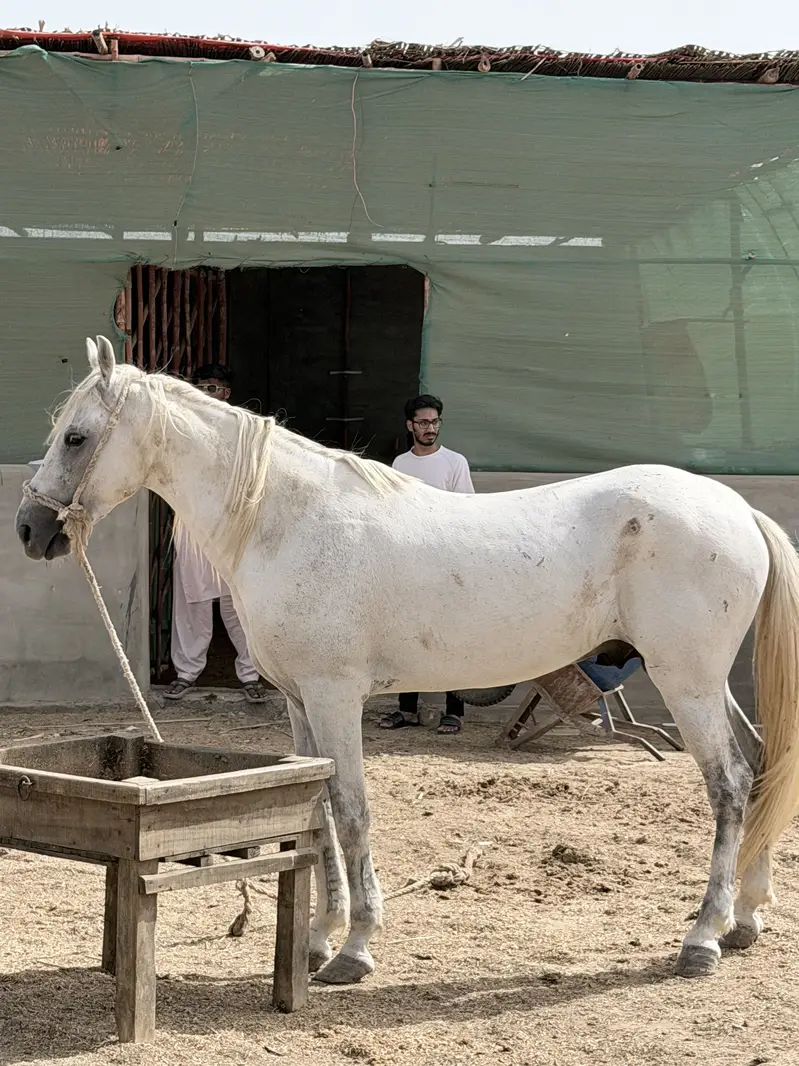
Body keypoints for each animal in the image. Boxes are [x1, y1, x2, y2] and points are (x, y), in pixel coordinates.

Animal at [15, 335, 799, 985]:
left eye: (77, 437)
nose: (30, 530)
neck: (286, 519)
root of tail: (736, 510)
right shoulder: (300, 702)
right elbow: (317, 812)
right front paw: (317, 940)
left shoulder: (333, 696)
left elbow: (352, 809)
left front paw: (355, 948)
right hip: (703, 683)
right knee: (760, 766)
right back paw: (746, 919)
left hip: (686, 681)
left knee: (729, 785)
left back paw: (701, 938)